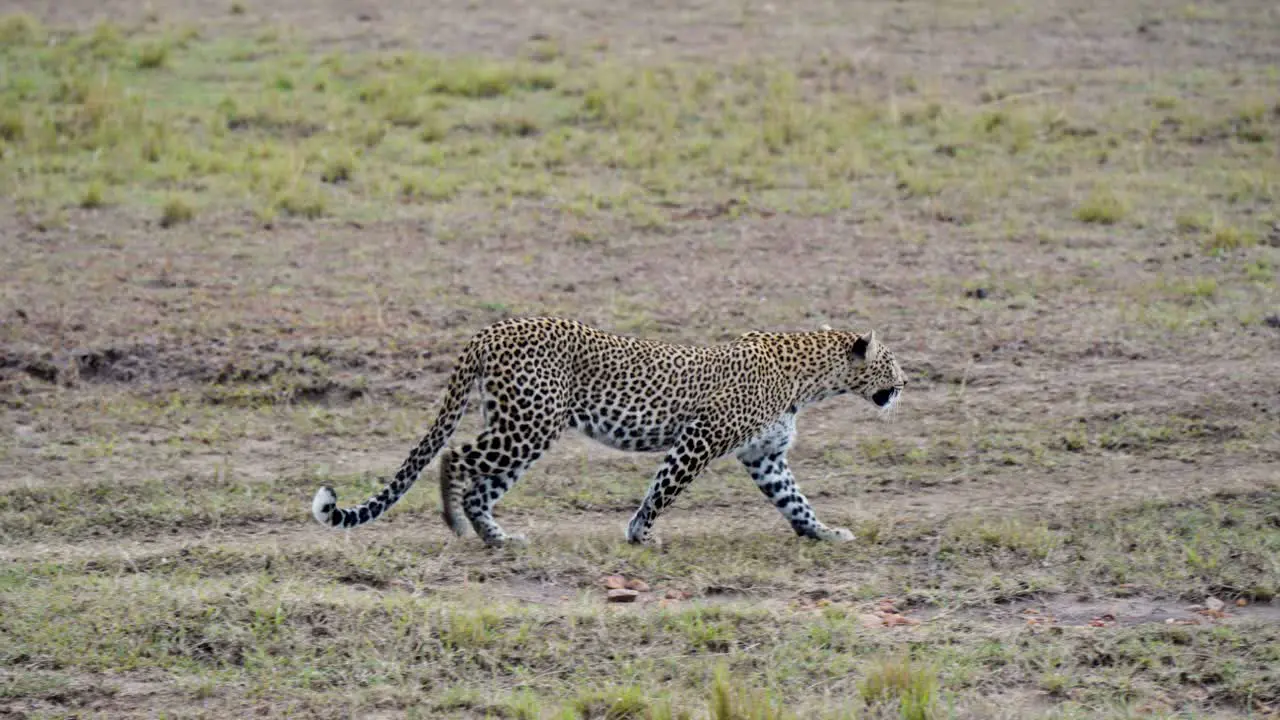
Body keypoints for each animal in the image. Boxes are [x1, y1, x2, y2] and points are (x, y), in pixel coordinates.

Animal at [311, 313, 911, 543]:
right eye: (892, 362)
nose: (907, 383)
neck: (810, 378)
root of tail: (492, 329)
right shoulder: (698, 441)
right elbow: (662, 490)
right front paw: (640, 534)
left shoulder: (764, 457)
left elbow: (796, 501)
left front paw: (823, 532)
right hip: (528, 425)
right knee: (454, 457)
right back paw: (458, 526)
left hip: (520, 428)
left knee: (482, 485)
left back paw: (497, 538)